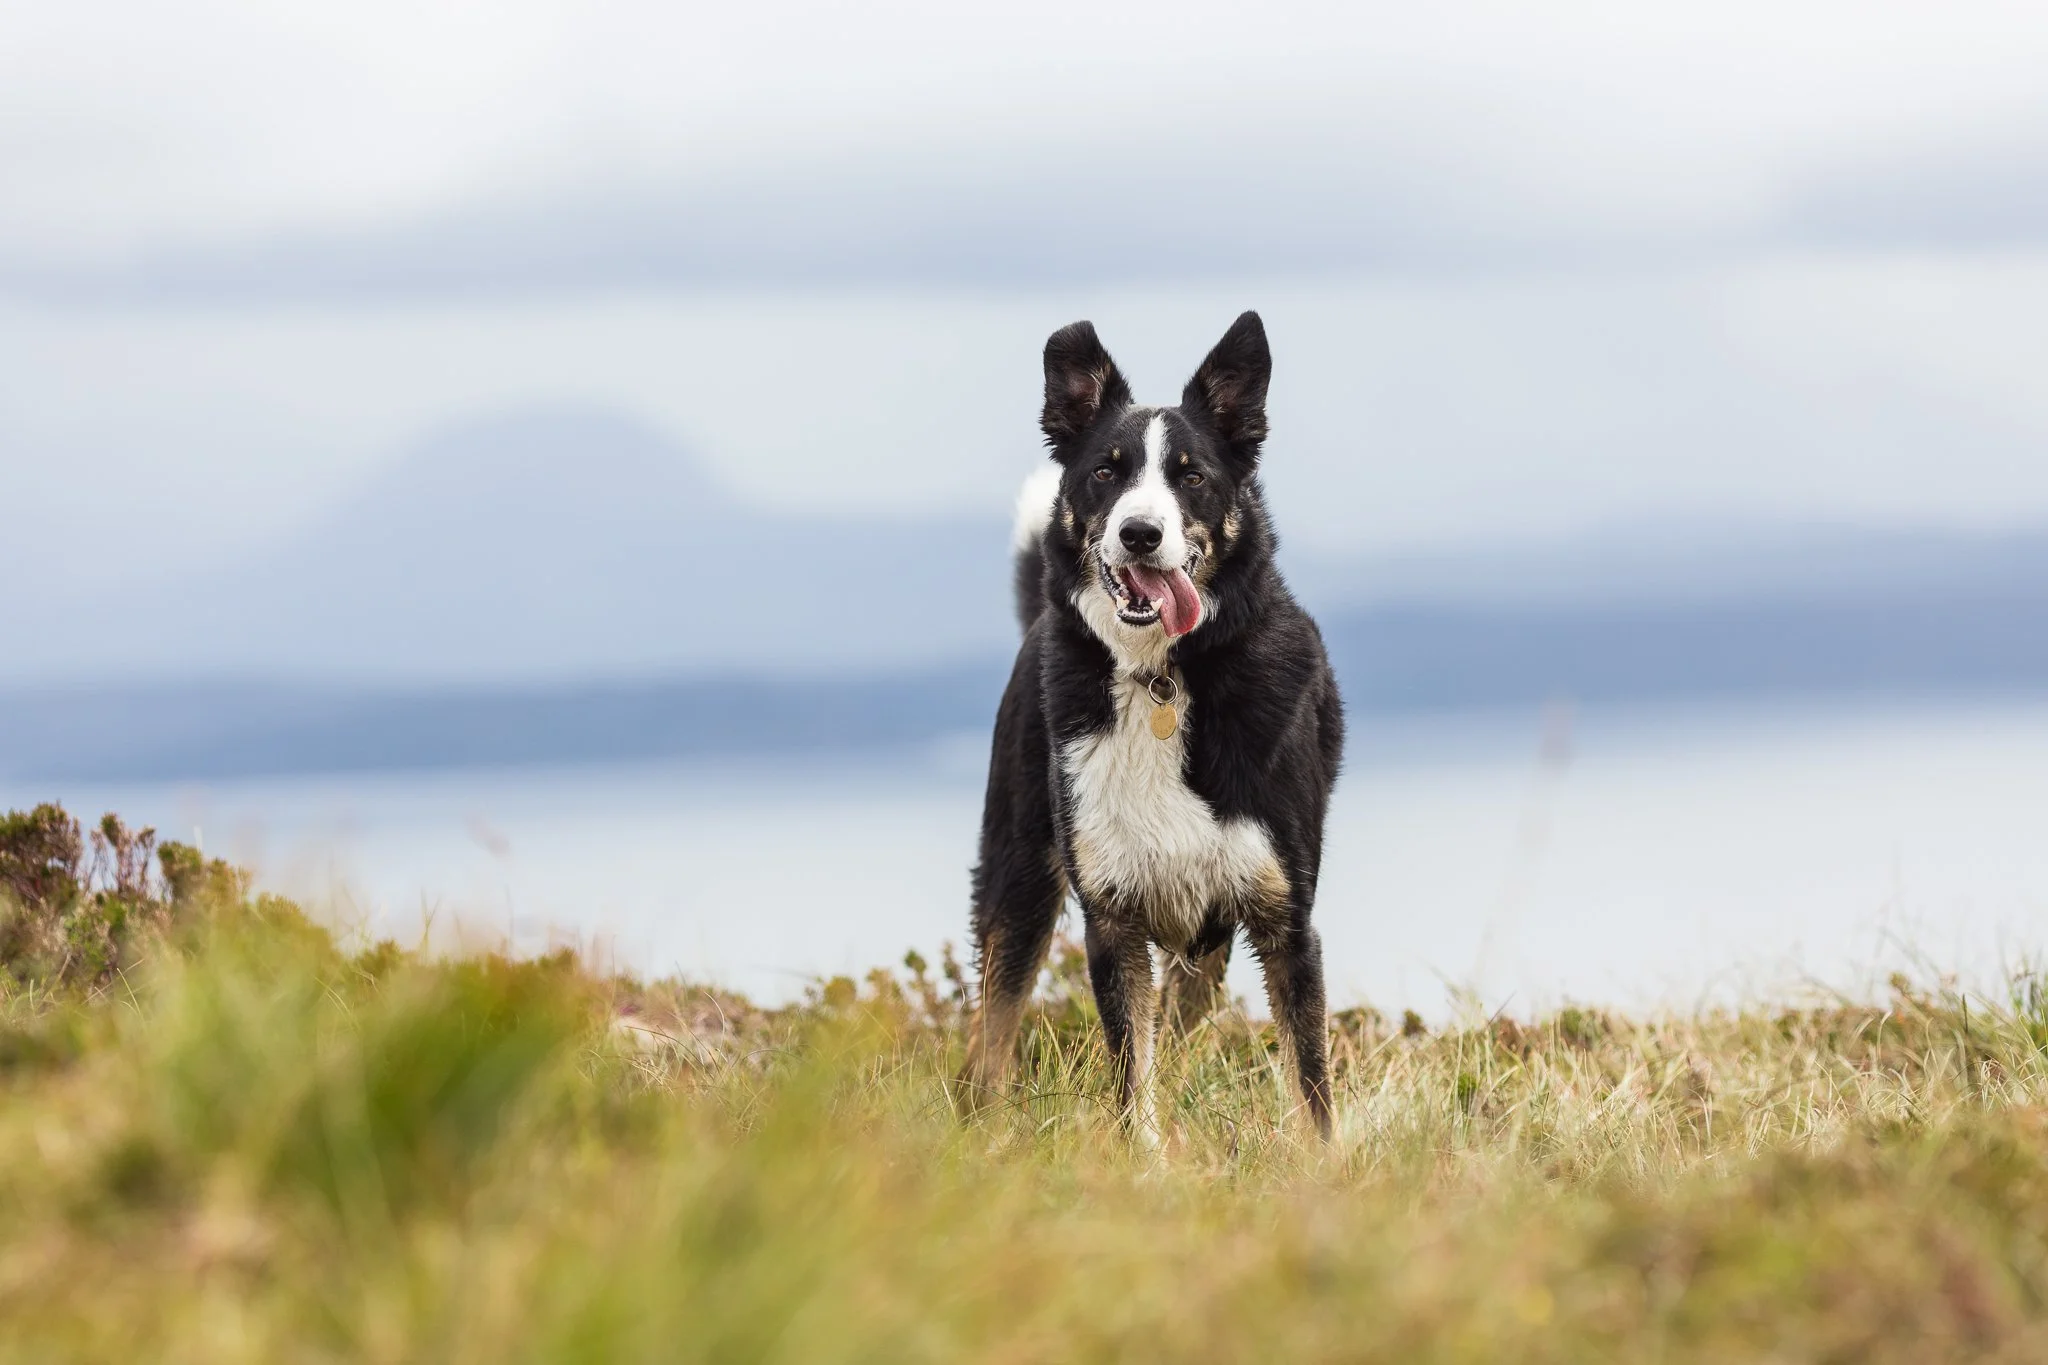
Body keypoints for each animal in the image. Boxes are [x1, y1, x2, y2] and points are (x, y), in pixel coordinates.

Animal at [963, 311, 1345, 1140]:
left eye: (1191, 475)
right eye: (1106, 473)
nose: (1140, 532)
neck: (1163, 675)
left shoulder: (1285, 917)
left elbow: (1311, 1088)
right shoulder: (1113, 919)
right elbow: (1132, 1080)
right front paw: (1143, 1159)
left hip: (1207, 946)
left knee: (1178, 1025)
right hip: (1019, 875)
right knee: (992, 1036)